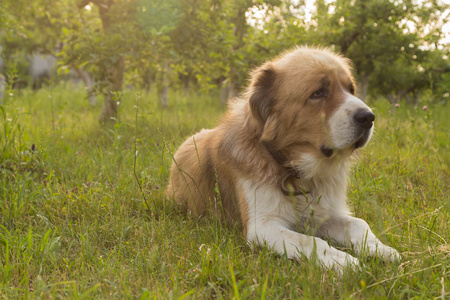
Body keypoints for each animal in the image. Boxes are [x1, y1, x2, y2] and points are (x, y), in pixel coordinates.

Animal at [166, 46, 400, 270]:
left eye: (351, 89)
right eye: (318, 93)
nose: (368, 117)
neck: (293, 169)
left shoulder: (319, 213)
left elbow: (358, 223)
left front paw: (379, 248)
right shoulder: (262, 226)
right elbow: (312, 241)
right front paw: (344, 261)